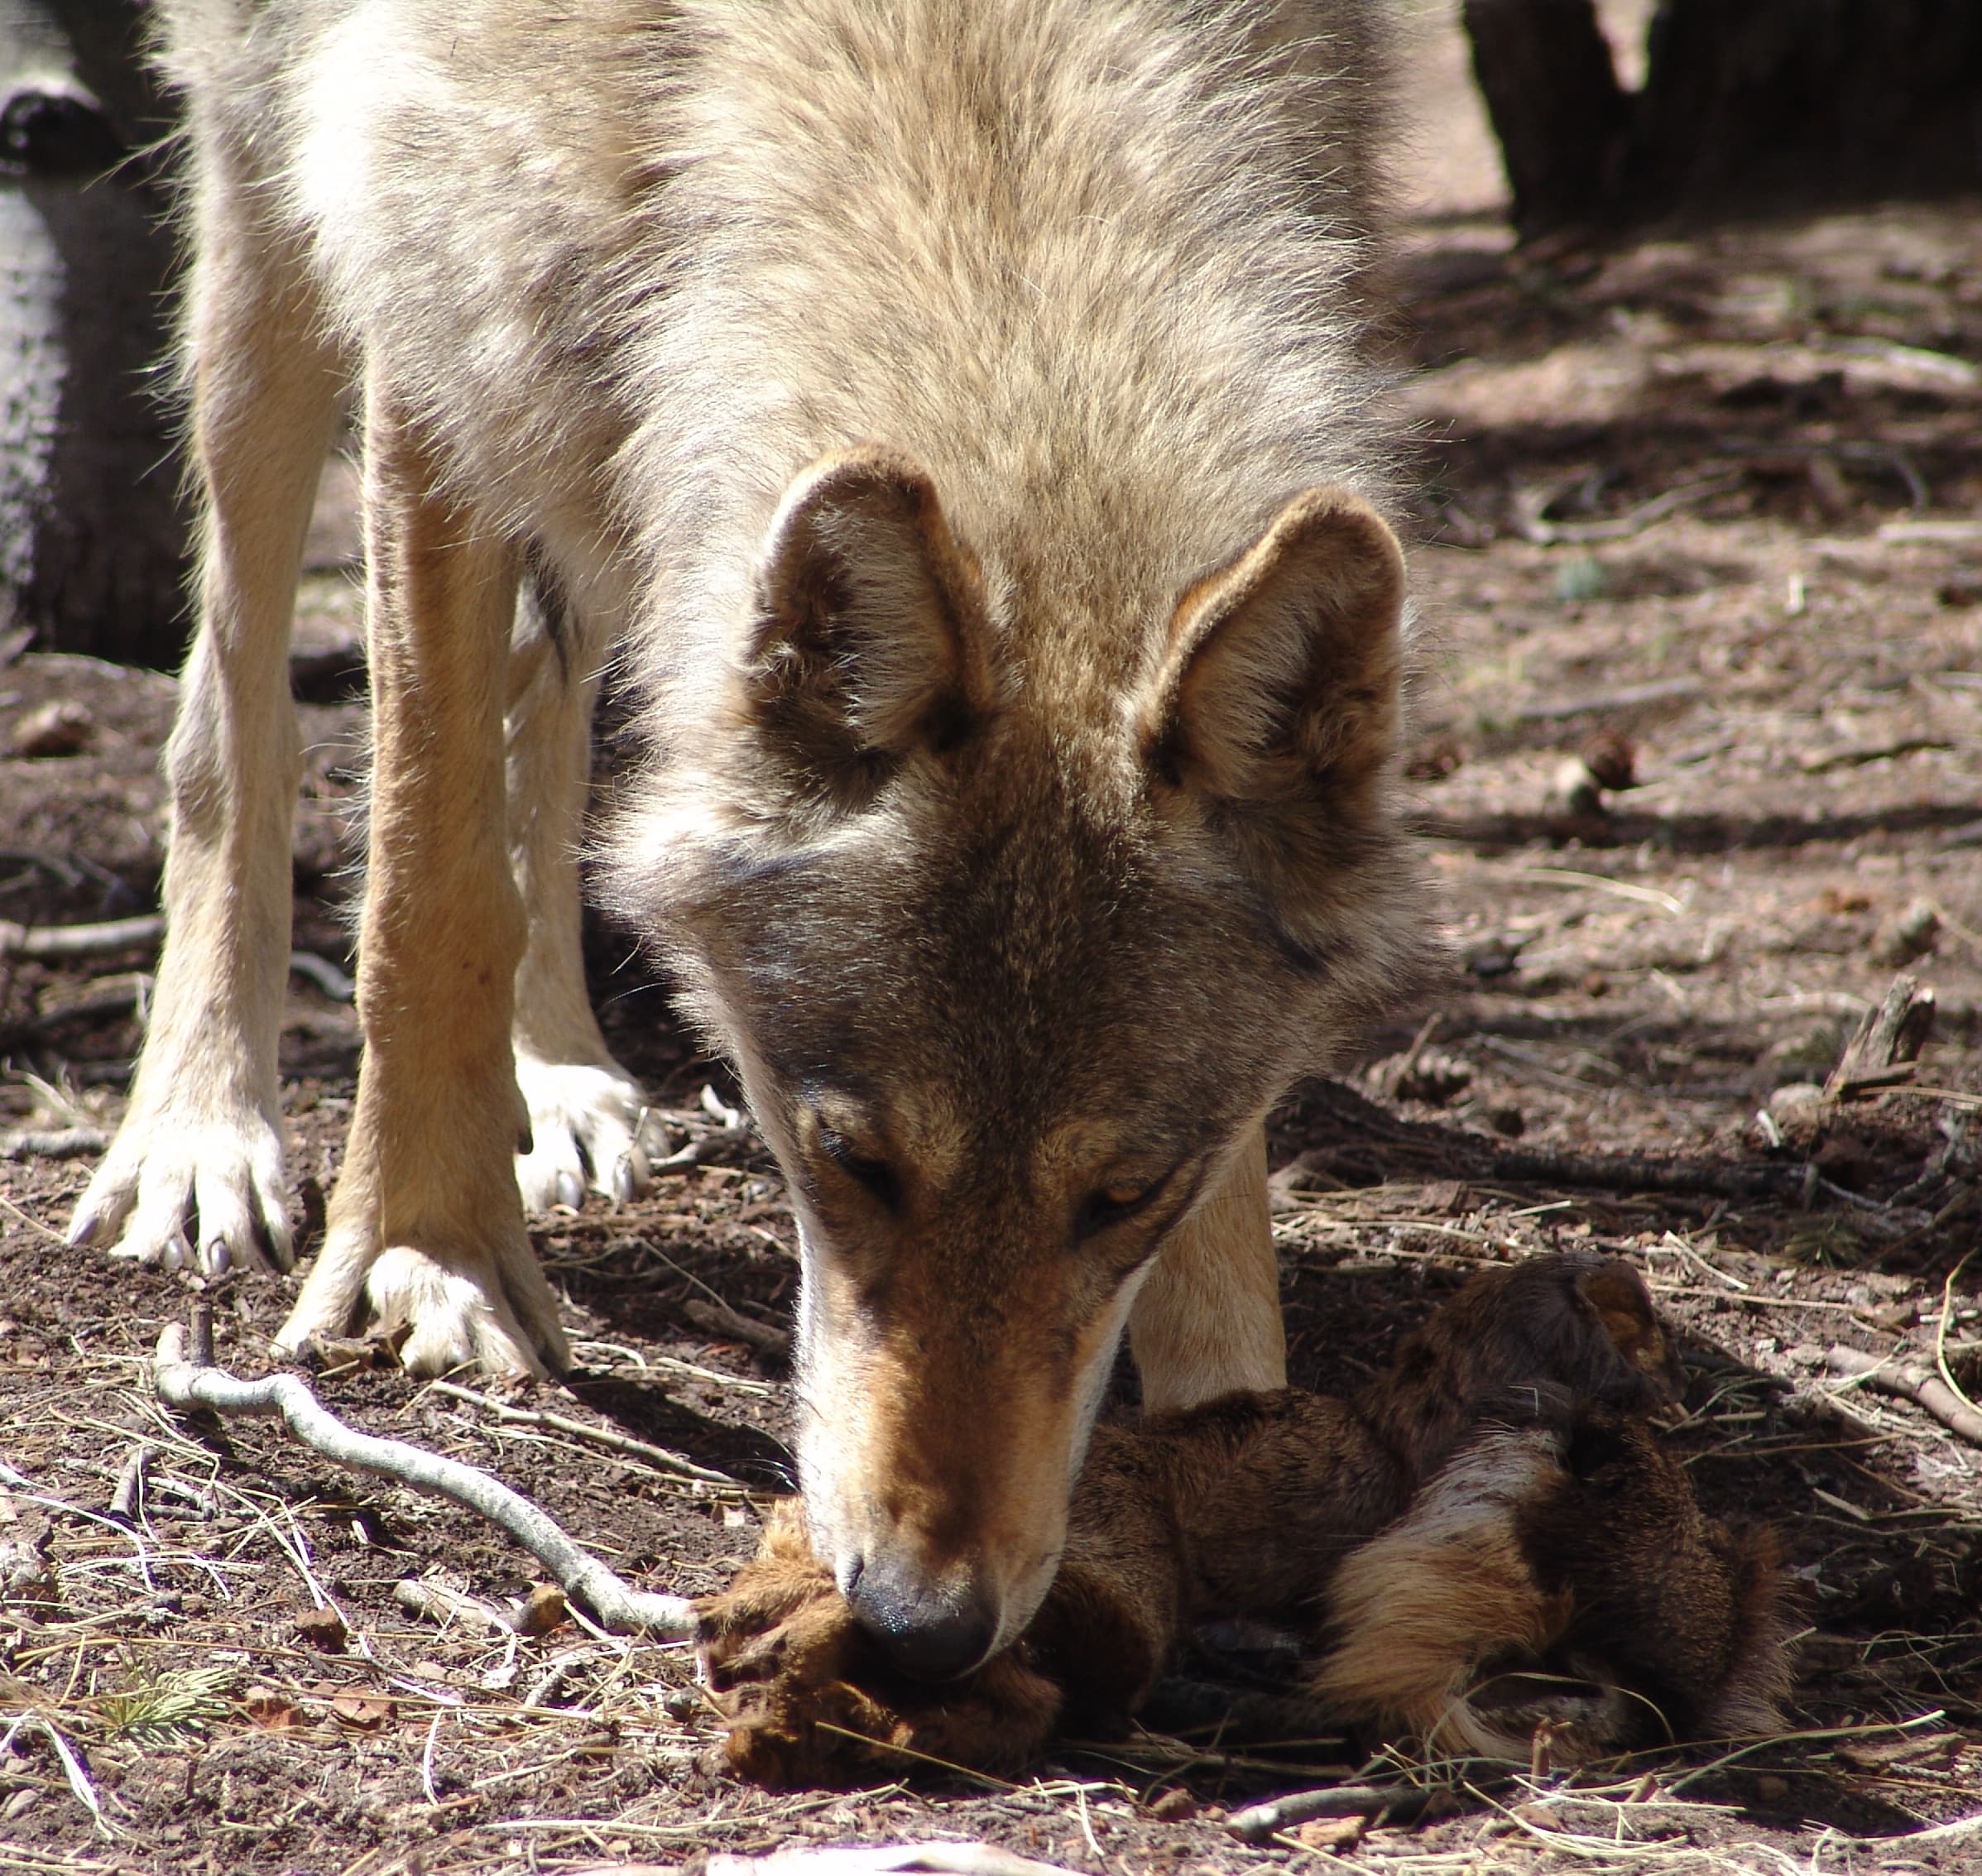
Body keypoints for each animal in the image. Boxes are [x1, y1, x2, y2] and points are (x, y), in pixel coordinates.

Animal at [72, 0, 1431, 1682]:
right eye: (852, 1160)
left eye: (1121, 1199)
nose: (922, 1623)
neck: (972, 104)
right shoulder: (433, 344)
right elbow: (423, 889)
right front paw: (427, 1255)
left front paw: (1233, 1404)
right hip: (280, 246)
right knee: (231, 695)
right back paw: (202, 1132)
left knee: (564, 712)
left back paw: (563, 1085)